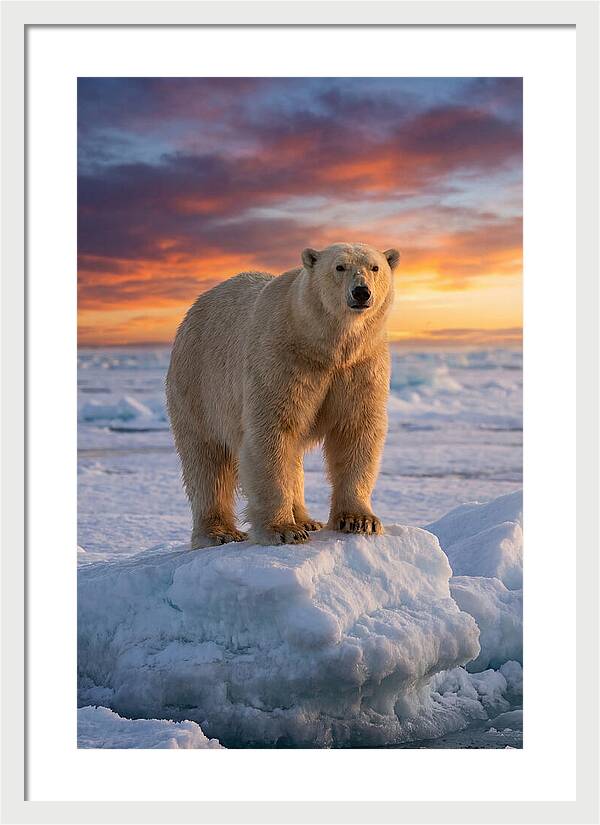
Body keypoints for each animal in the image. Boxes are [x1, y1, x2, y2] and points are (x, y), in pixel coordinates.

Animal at [166, 242, 400, 548]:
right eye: (339, 267)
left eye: (374, 267)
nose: (361, 292)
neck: (324, 346)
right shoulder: (281, 359)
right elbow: (271, 432)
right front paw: (283, 530)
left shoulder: (361, 366)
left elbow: (356, 430)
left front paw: (360, 520)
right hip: (198, 383)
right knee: (207, 460)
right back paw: (219, 532)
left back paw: (307, 519)